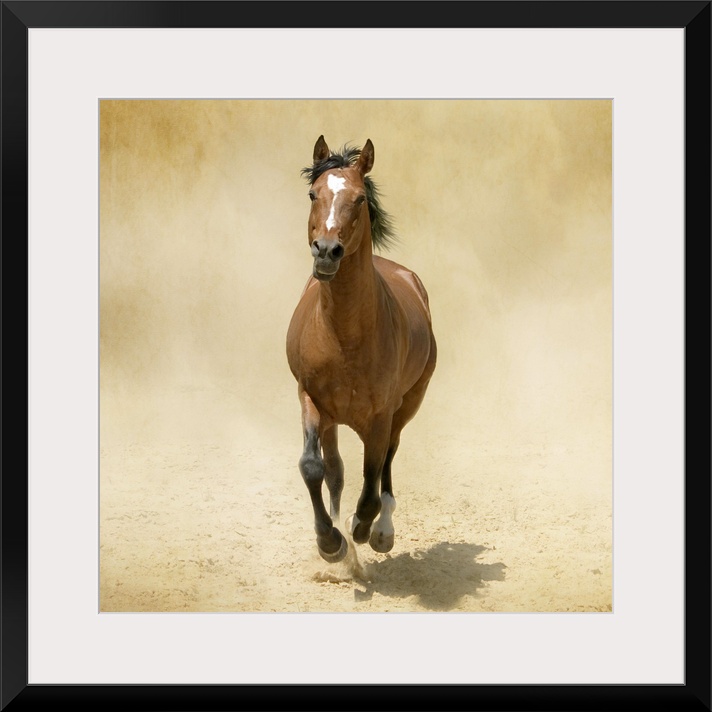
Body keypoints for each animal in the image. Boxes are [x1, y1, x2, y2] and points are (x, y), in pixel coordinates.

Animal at [286, 136, 437, 564]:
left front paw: (362, 529)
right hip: (334, 417)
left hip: (408, 404)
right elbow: (314, 467)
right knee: (336, 470)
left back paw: (381, 531)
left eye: (358, 199)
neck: (345, 338)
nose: (326, 251)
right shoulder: (310, 398)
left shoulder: (381, 415)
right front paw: (331, 543)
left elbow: (371, 486)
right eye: (313, 193)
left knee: (387, 463)